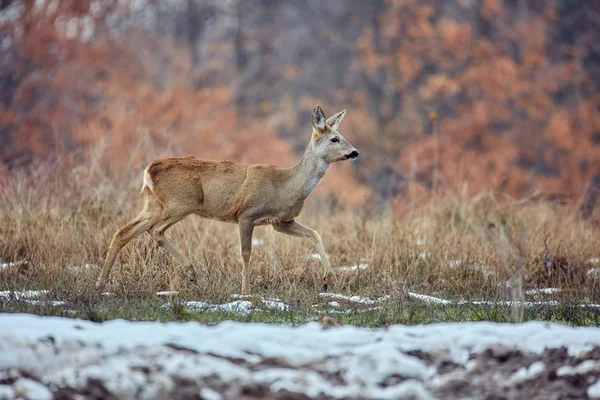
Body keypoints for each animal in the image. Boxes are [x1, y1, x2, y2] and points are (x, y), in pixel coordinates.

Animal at [95, 105, 358, 294]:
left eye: (342, 135)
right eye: (334, 139)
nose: (355, 152)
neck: (286, 185)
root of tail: (149, 169)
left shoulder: (281, 221)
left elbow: (315, 235)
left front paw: (328, 279)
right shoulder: (247, 214)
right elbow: (246, 253)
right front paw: (246, 291)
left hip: (154, 203)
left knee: (124, 232)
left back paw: (101, 284)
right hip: (180, 202)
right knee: (155, 230)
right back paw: (192, 273)